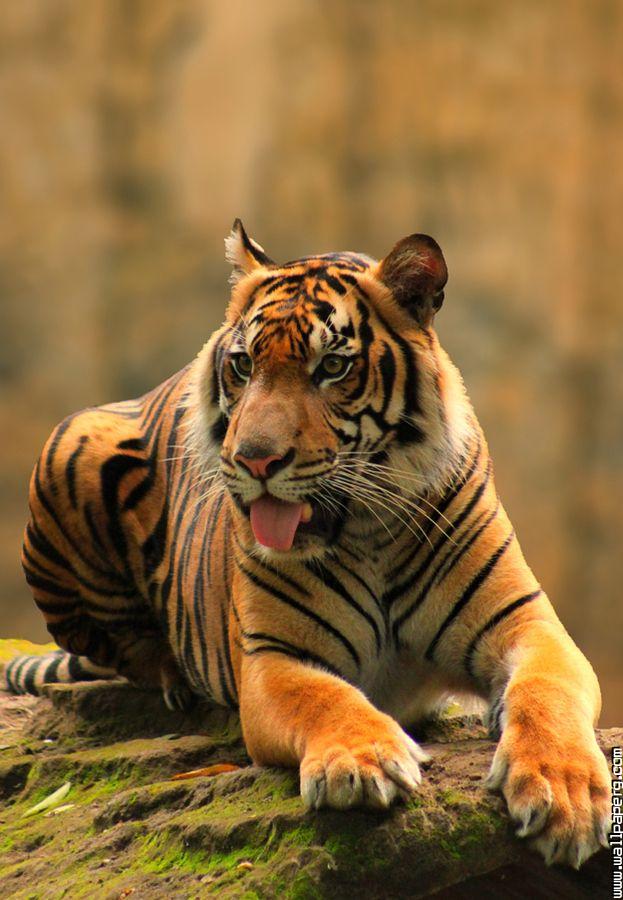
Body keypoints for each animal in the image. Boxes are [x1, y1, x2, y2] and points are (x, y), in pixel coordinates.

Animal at [2, 221, 612, 868]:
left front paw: (564, 794)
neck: (368, 532)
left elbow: (546, 693)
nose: (254, 460)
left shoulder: (526, 623)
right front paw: (364, 761)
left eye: (333, 366)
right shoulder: (271, 659)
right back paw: (174, 681)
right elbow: (325, 698)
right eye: (243, 364)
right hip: (72, 439)